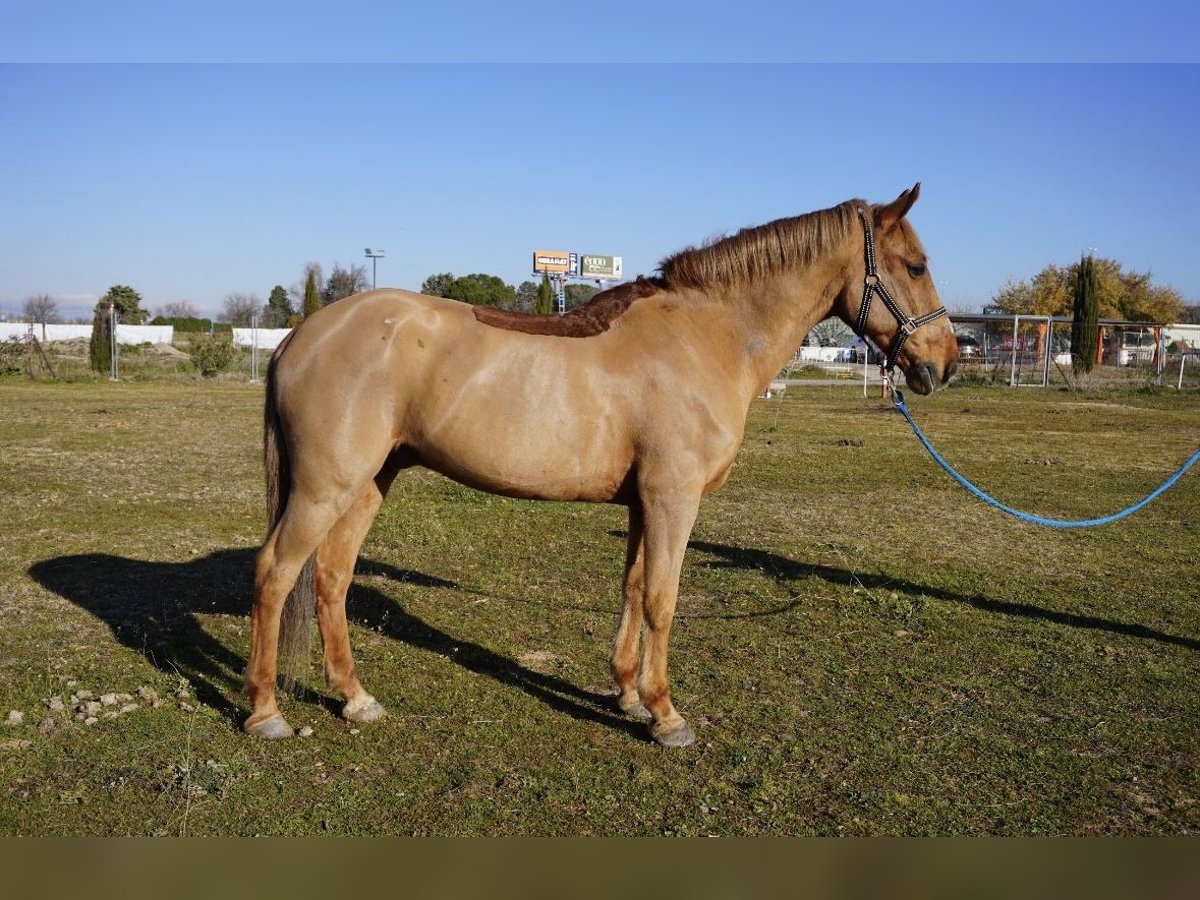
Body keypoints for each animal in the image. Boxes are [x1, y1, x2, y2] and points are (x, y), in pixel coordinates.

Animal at [248, 181, 960, 748]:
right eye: (916, 265)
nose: (945, 363)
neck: (707, 336)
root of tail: (299, 336)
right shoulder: (674, 498)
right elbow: (664, 600)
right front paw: (667, 715)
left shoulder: (646, 502)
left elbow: (633, 590)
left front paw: (627, 693)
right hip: (324, 488)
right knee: (277, 572)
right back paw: (265, 712)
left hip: (370, 481)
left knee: (332, 577)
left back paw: (356, 699)